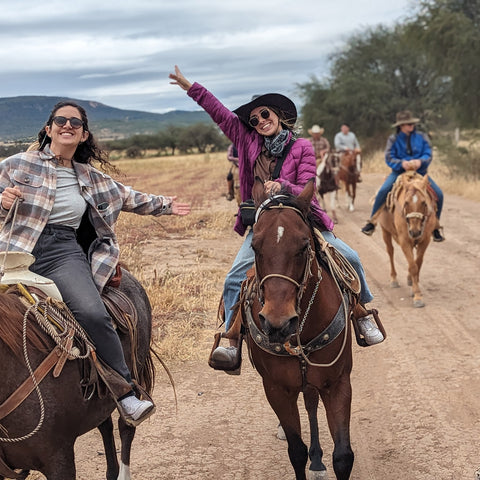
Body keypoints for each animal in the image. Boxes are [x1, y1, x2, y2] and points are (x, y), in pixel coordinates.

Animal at [242, 178, 354, 478]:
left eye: (304, 246)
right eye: (255, 246)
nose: (278, 322)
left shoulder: (337, 383)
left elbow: (343, 456)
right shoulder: (277, 389)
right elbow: (296, 451)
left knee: (311, 404)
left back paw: (318, 460)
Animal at [378, 172, 438, 308]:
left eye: (424, 203)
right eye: (406, 203)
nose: (415, 231)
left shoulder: (425, 240)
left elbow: (418, 263)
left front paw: (412, 284)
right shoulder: (405, 241)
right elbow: (413, 266)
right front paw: (417, 296)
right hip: (385, 231)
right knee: (390, 252)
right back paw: (394, 279)